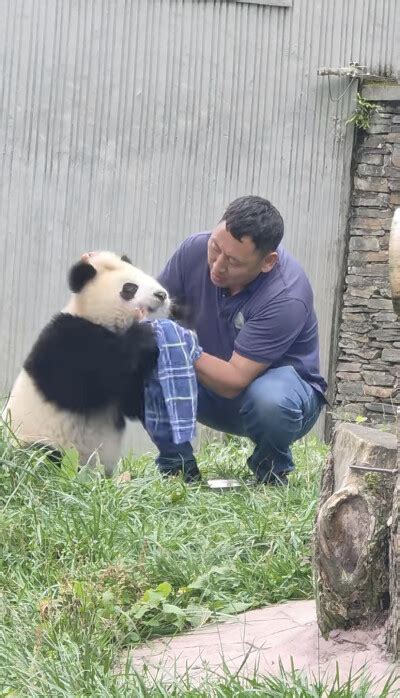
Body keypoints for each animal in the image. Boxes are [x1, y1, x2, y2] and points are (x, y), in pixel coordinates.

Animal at [3, 250, 172, 474]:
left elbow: (130, 402)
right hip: (32, 440)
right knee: (40, 456)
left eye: (144, 275)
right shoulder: (63, 339)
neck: (95, 317)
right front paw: (144, 336)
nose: (161, 295)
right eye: (130, 288)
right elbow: (73, 385)